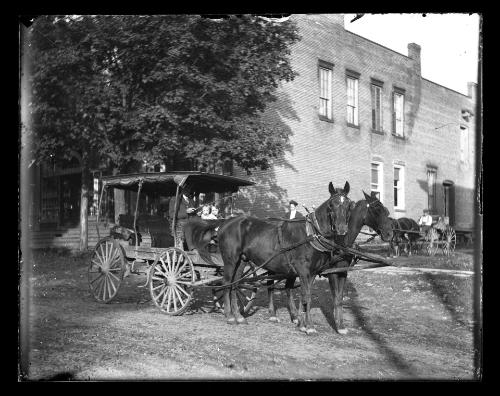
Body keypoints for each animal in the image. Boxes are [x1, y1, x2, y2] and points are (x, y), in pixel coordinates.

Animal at [217, 183, 354, 334]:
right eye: (331, 205)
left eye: (349, 204)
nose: (342, 229)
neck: (311, 234)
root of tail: (225, 223)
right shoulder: (304, 271)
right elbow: (307, 296)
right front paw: (309, 326)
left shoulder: (312, 273)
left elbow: (306, 296)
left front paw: (302, 323)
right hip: (230, 260)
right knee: (226, 283)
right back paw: (230, 316)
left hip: (242, 261)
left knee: (235, 284)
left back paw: (238, 316)